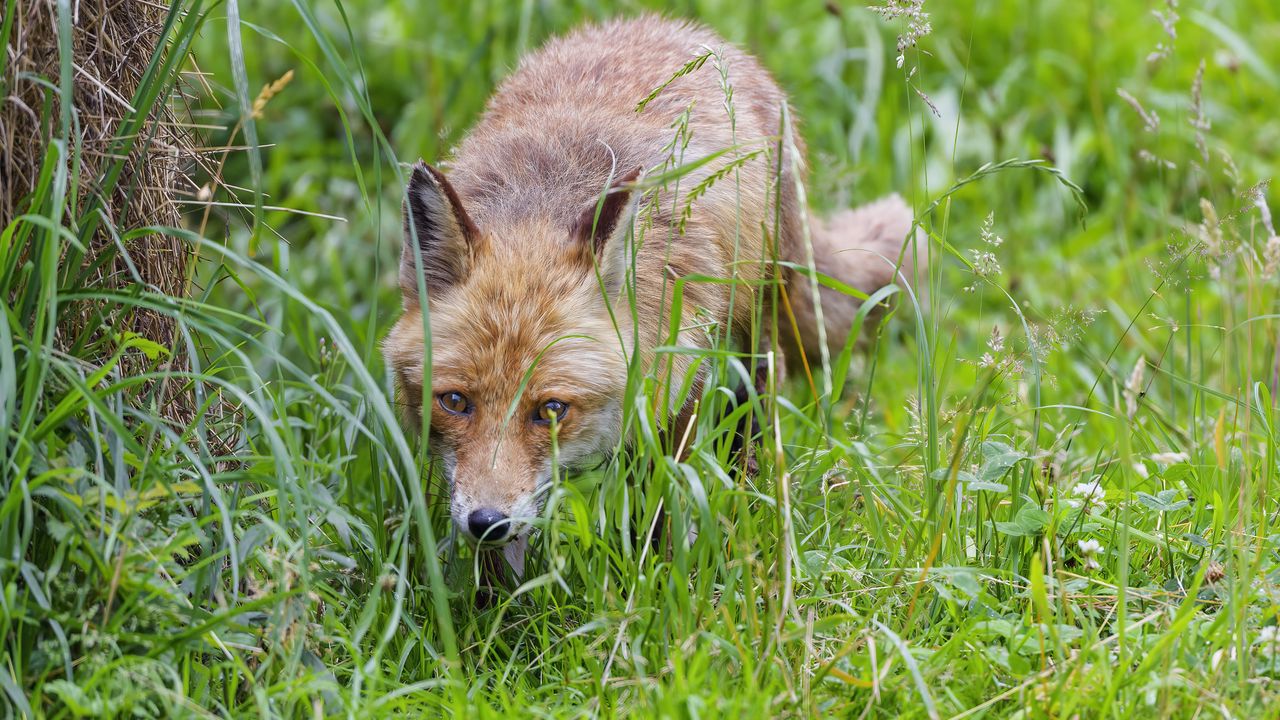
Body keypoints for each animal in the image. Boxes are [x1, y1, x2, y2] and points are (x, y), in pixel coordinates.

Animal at [382, 15, 921, 571]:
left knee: (753, 411)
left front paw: (662, 571)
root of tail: (662, 23)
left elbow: (663, 497)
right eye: (454, 401)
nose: (487, 522)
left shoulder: (682, 374)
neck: (541, 206)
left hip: (756, 328)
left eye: (551, 409)